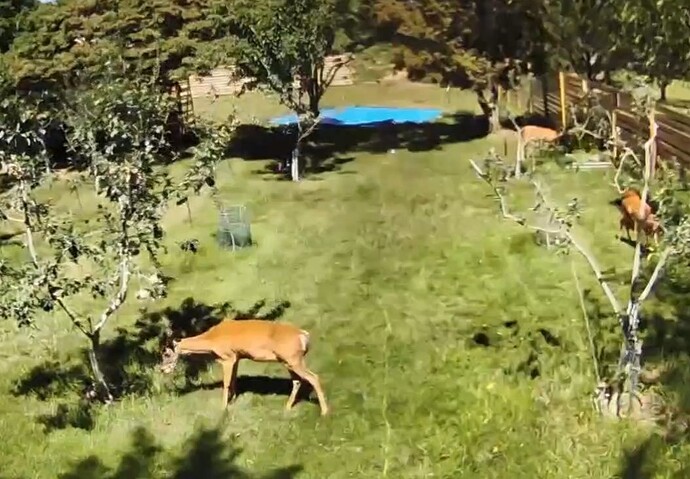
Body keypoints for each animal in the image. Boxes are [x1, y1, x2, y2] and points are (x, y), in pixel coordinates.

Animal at [159, 319, 329, 416]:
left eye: (166, 354)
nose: (161, 369)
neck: (211, 340)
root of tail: (304, 336)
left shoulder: (227, 357)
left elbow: (226, 383)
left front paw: (223, 408)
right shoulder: (237, 357)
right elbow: (234, 380)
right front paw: (233, 399)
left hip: (293, 359)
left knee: (313, 377)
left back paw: (325, 411)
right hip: (289, 361)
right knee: (298, 381)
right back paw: (287, 407)